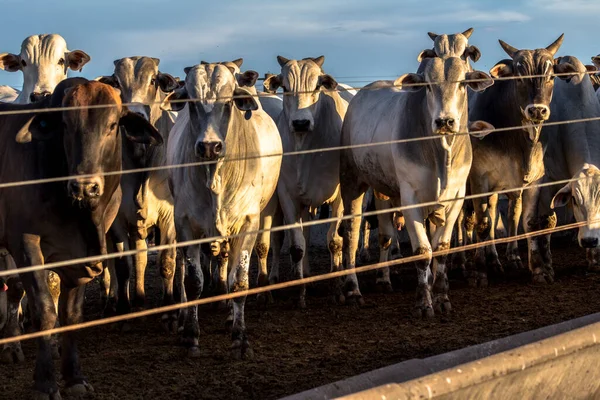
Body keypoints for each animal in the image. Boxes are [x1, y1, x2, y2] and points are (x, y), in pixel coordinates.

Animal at [0, 78, 162, 396]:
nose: (85, 187)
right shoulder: (25, 245)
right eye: (65, 124)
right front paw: (45, 384)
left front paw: (74, 378)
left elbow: (71, 315)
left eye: (112, 124)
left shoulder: (82, 257)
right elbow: (45, 310)